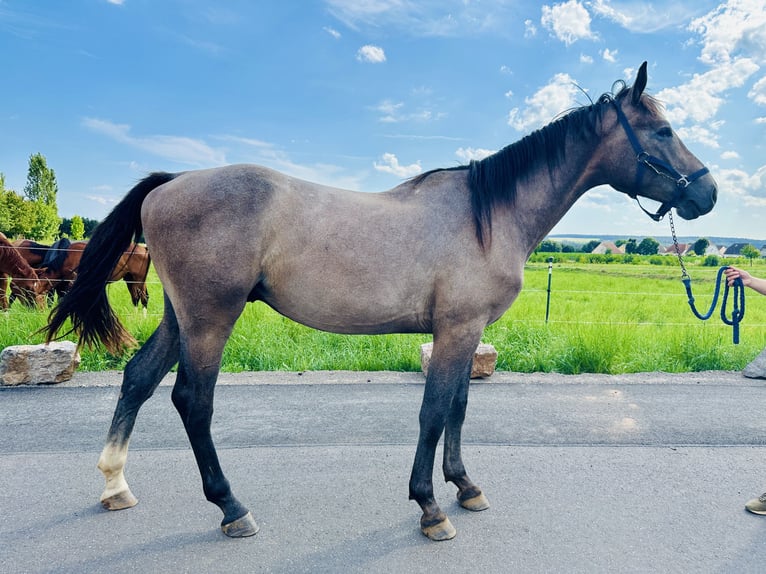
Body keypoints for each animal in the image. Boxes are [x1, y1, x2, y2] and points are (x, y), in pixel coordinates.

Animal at [42, 64, 720, 544]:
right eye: (662, 131)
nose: (709, 193)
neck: (487, 215)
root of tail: (171, 183)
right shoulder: (456, 330)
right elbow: (433, 412)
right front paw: (429, 508)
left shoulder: (465, 332)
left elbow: (457, 409)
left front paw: (464, 486)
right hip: (212, 316)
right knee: (192, 400)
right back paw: (232, 507)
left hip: (180, 316)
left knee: (138, 379)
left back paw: (115, 484)